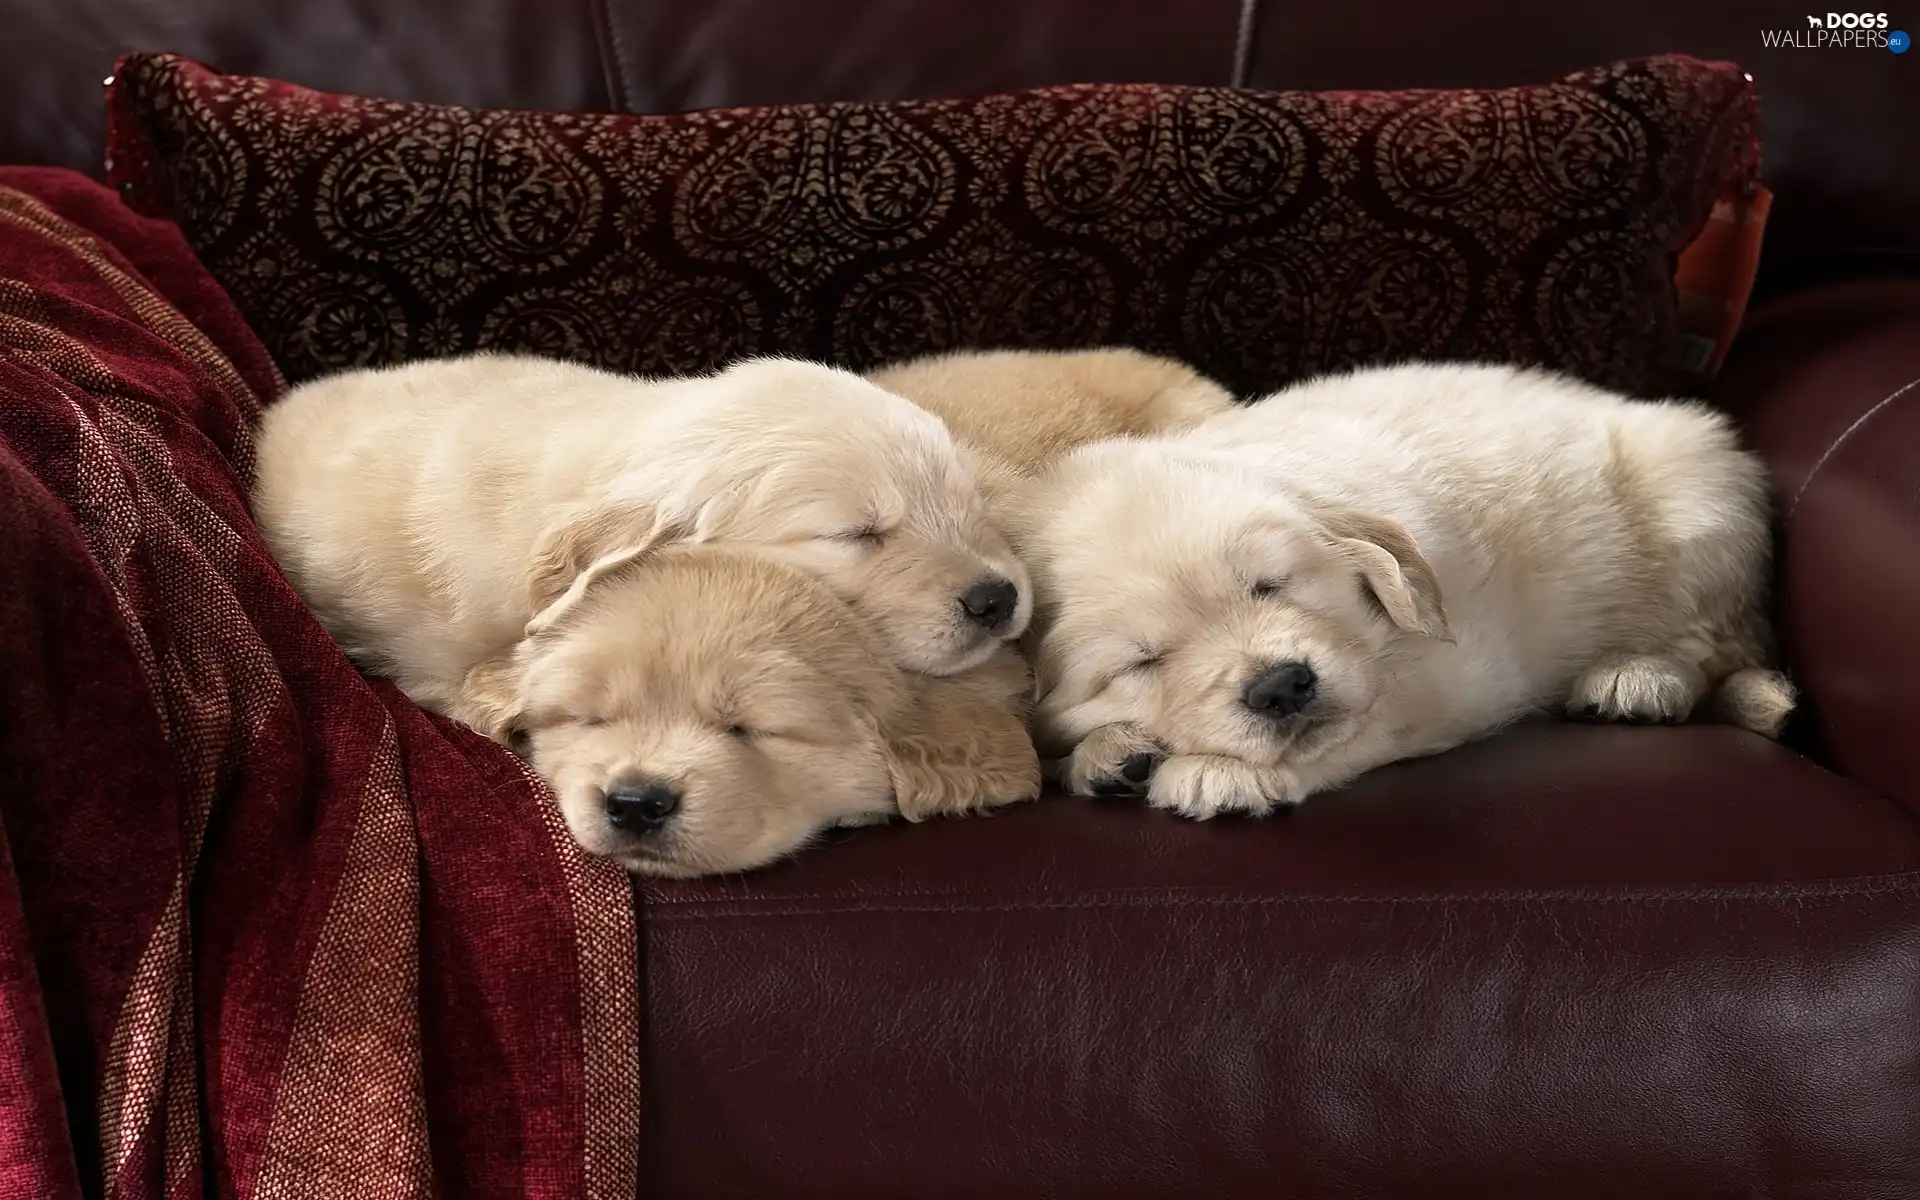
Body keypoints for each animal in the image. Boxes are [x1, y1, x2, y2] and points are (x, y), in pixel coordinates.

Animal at [1006, 360, 1797, 817]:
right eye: (1143, 663)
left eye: (1271, 585)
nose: (1281, 686)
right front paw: (1109, 752)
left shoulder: (1458, 674)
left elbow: (1361, 723)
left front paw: (1214, 775)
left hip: (1698, 503)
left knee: (1718, 644)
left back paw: (1639, 678)